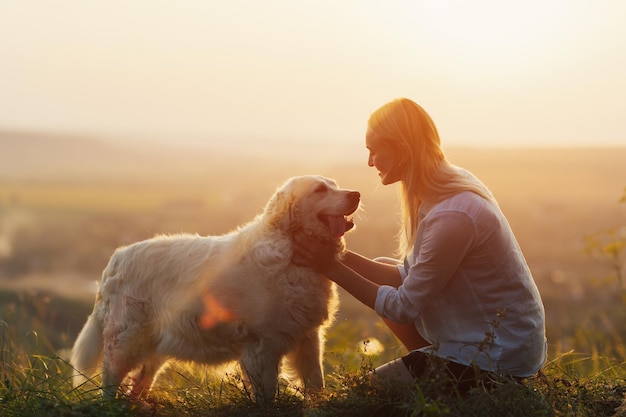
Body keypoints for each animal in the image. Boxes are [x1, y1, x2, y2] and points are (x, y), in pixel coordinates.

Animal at [70, 174, 358, 402]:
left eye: (335, 184)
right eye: (319, 189)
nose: (356, 193)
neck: (290, 250)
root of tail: (117, 257)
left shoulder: (309, 338)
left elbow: (315, 382)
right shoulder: (262, 343)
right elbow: (267, 392)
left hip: (155, 345)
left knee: (138, 384)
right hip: (127, 338)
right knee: (110, 379)